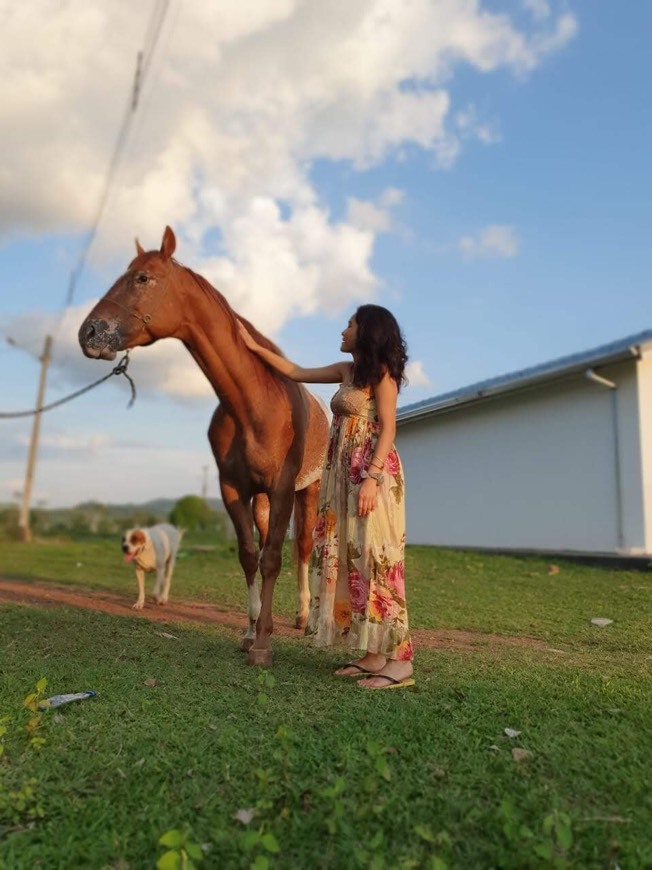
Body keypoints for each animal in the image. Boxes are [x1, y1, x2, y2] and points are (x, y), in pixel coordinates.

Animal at [79, 227, 328, 668]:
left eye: (142, 277)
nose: (88, 333)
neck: (254, 404)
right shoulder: (234, 490)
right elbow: (249, 555)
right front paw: (250, 632)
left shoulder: (283, 487)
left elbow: (273, 557)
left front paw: (263, 645)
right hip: (262, 501)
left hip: (307, 489)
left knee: (301, 548)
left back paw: (305, 618)